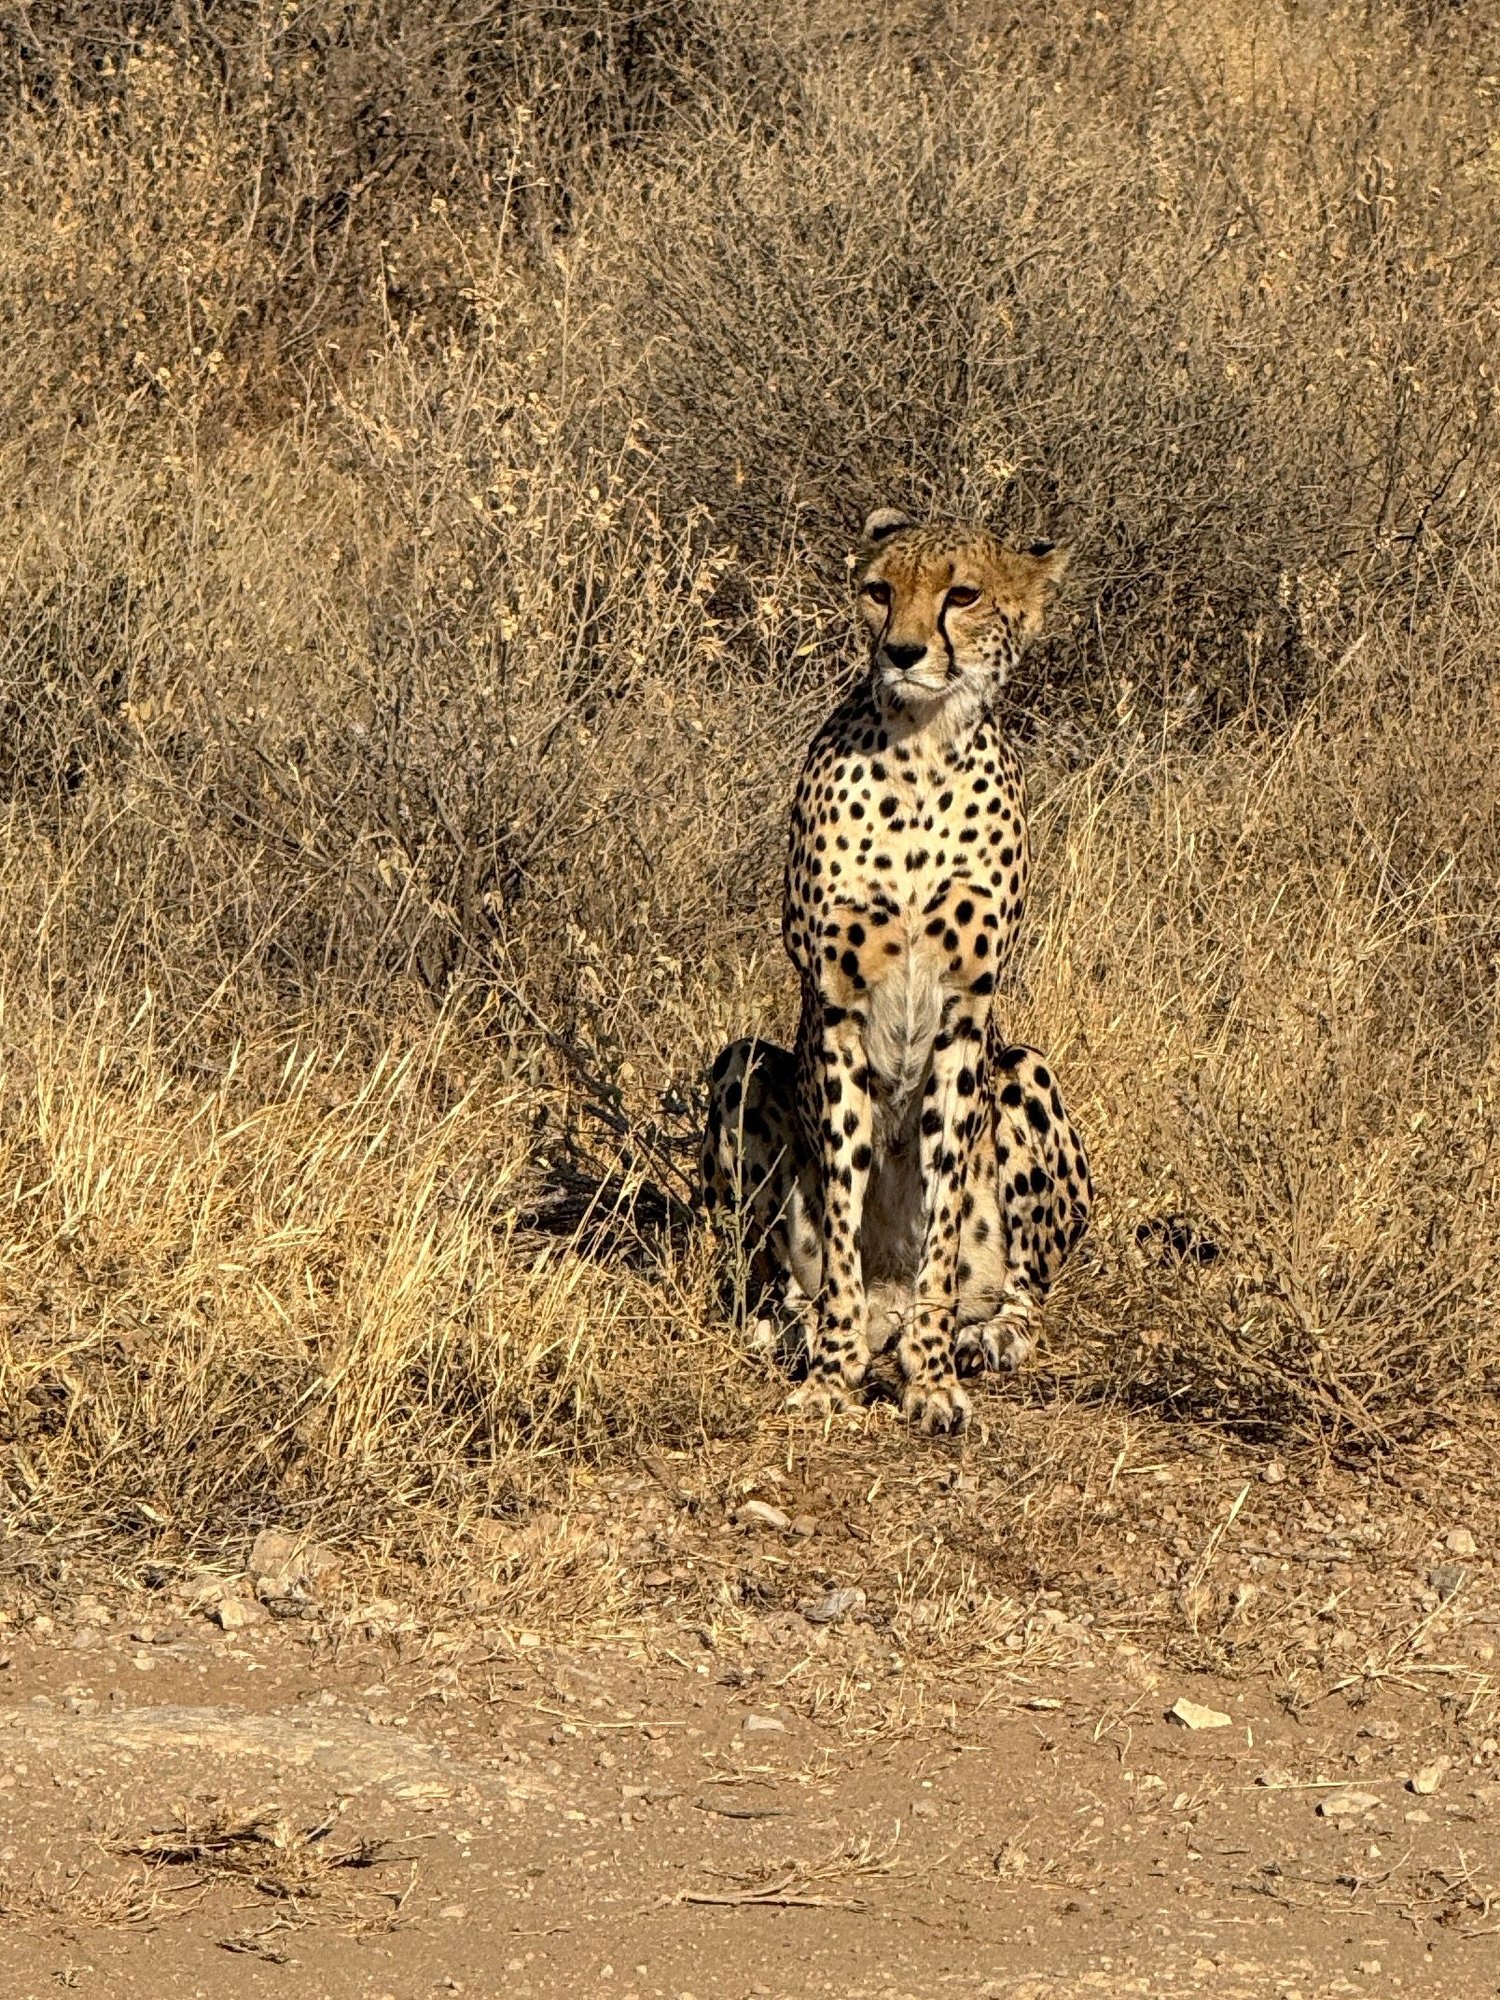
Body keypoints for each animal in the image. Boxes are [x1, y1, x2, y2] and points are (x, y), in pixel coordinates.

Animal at [701, 507, 1092, 1432]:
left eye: (964, 595)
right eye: (880, 590)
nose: (904, 652)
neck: (921, 753)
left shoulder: (963, 1013)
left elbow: (942, 1224)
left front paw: (932, 1377)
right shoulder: (837, 1007)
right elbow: (844, 1200)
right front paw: (833, 1372)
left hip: (1024, 1069)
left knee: (1024, 1288)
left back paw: (983, 1337)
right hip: (743, 1067)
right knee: (775, 1272)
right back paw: (796, 1327)